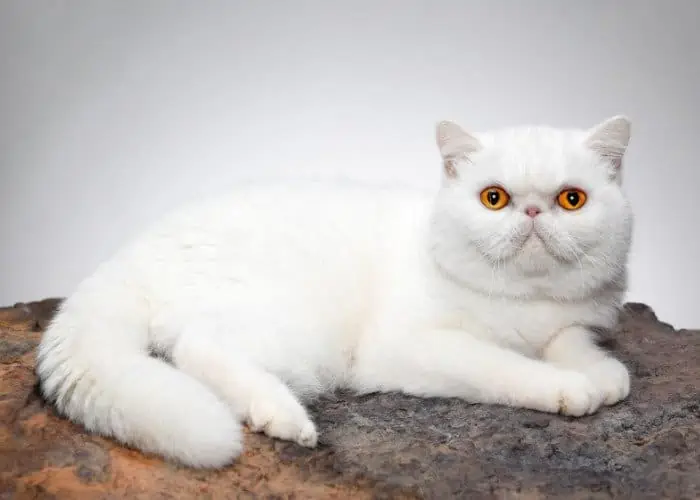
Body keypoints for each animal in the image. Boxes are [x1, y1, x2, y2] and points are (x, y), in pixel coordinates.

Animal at [37, 115, 636, 466]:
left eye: (572, 200)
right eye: (494, 198)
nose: (533, 212)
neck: (526, 300)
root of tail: (127, 255)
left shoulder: (570, 320)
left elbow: (577, 345)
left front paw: (601, 374)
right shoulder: (412, 347)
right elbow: (506, 366)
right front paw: (567, 388)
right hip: (293, 329)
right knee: (198, 349)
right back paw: (285, 419)